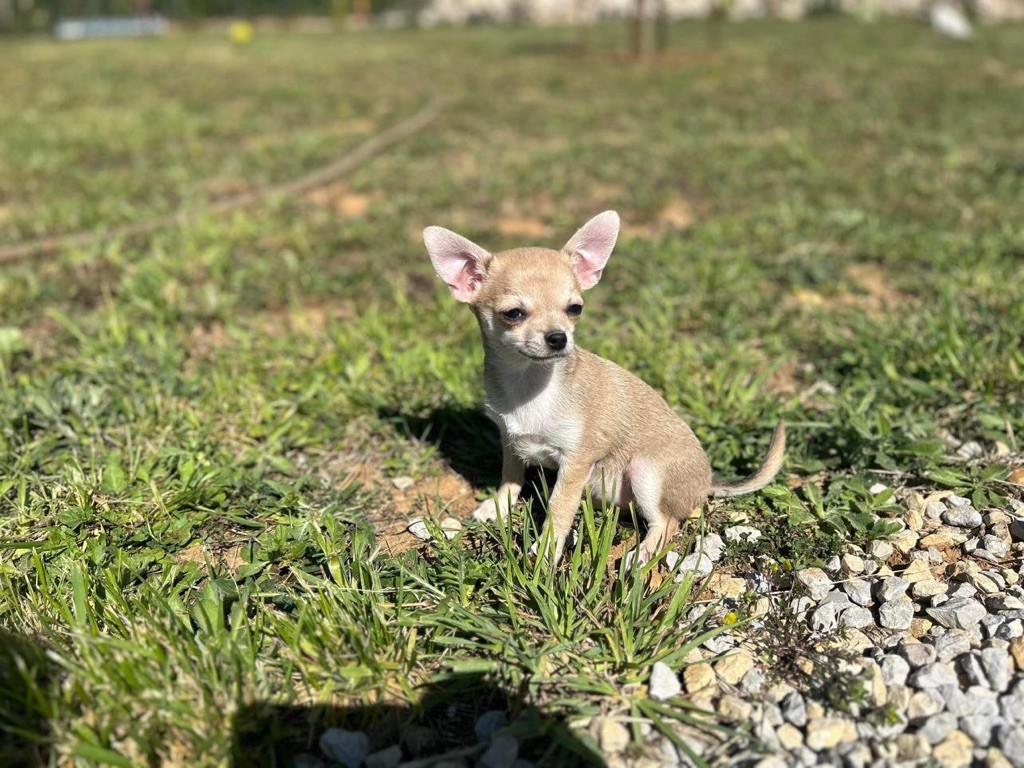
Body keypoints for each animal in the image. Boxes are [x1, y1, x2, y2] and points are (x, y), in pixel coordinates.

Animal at [421, 210, 782, 565]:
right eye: (513, 314)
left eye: (575, 309)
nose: (558, 337)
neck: (530, 385)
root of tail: (707, 482)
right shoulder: (510, 441)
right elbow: (511, 479)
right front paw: (495, 507)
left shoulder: (575, 462)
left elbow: (558, 509)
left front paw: (546, 552)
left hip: (646, 471)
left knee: (667, 523)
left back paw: (642, 555)